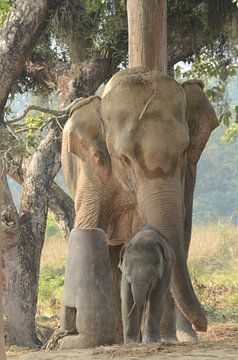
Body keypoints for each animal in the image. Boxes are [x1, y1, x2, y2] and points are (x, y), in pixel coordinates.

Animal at [61, 67, 219, 340]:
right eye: (124, 158)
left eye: (184, 151)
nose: (204, 325)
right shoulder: (92, 173)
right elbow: (88, 228)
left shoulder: (188, 177)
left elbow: (178, 233)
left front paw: (162, 339)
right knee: (112, 254)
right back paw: (116, 338)